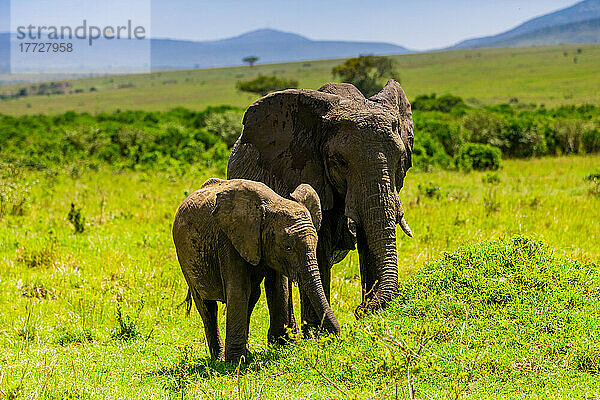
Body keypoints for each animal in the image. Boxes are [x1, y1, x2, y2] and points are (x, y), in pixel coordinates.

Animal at [173, 178, 340, 362]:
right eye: (287, 247)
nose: (330, 339)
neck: (273, 203)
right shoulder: (228, 239)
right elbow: (238, 290)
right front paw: (236, 362)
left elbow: (278, 288)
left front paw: (283, 347)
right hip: (185, 258)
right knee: (207, 306)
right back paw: (220, 358)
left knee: (252, 298)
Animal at [227, 79, 414, 340]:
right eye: (340, 161)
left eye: (400, 158)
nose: (360, 310)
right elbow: (319, 248)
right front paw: (317, 334)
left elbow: (369, 243)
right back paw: (289, 336)